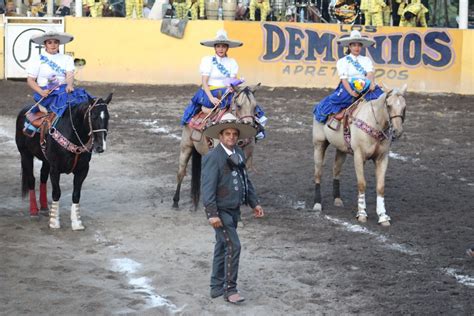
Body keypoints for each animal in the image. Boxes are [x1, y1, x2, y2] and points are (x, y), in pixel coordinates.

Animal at [15, 94, 112, 230]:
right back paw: (34, 211)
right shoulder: (55, 169)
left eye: (107, 117)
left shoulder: (83, 170)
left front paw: (77, 222)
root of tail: (24, 111)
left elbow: (76, 194)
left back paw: (44, 208)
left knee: (43, 177)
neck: (73, 135)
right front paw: (54, 222)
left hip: (46, 161)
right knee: (31, 179)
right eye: (93, 116)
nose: (100, 147)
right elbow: (56, 193)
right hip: (25, 154)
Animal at [312, 85, 408, 226]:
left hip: (342, 150)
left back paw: (337, 199)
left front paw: (383, 217)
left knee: (336, 170)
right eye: (389, 106)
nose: (397, 131)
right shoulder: (359, 156)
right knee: (318, 173)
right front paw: (362, 214)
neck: (374, 123)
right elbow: (362, 184)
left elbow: (380, 187)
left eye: (404, 106)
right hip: (319, 144)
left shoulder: (382, 158)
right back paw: (317, 204)